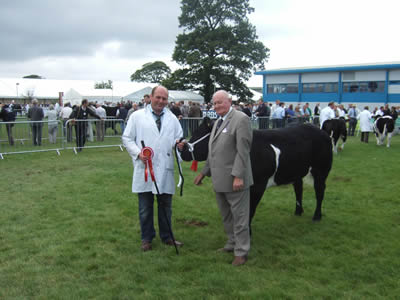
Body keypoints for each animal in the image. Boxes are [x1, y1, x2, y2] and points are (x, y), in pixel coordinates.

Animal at [180, 118, 332, 227]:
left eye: (198, 134)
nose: (182, 151)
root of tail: (318, 129)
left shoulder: (258, 185)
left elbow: (250, 210)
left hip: (321, 169)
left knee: (320, 191)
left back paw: (317, 216)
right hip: (297, 170)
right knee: (298, 188)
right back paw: (298, 211)